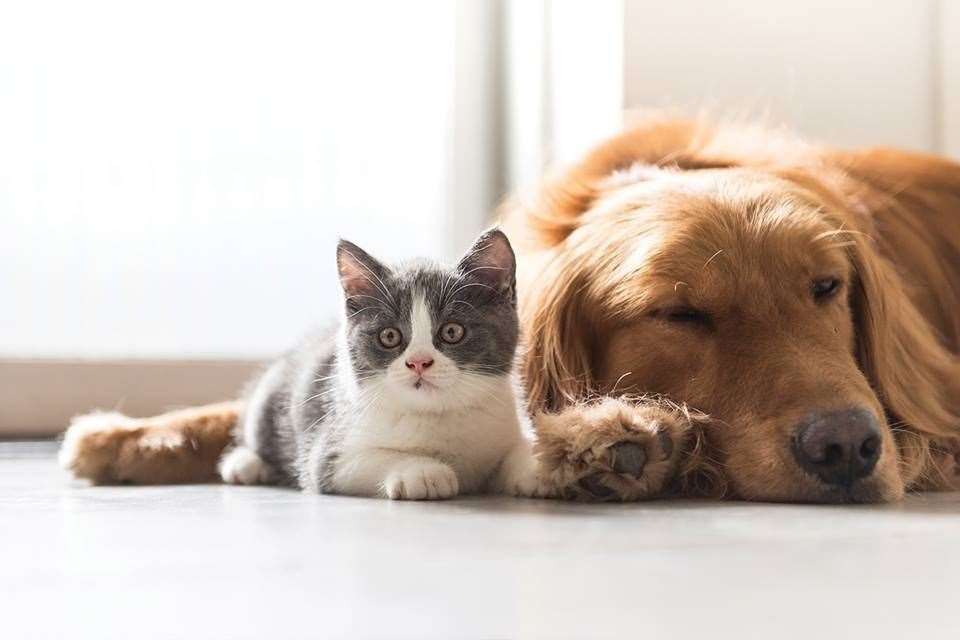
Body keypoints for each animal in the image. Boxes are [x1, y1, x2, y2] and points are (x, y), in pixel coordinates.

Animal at [216, 229, 548, 500]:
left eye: (452, 332)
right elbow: (369, 457)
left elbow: (517, 449)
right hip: (270, 397)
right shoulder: (328, 454)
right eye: (390, 336)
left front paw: (539, 465)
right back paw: (244, 464)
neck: (436, 414)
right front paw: (423, 472)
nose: (418, 362)